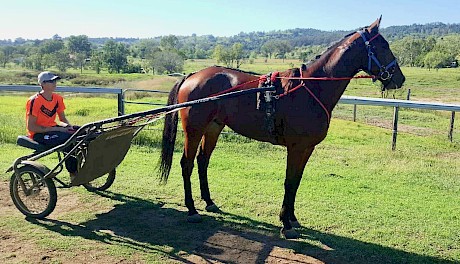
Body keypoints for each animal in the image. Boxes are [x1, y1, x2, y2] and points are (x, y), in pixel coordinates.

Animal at [158, 17, 406, 238]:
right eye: (382, 46)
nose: (399, 78)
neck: (311, 88)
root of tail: (192, 76)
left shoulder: (307, 149)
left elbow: (296, 182)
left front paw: (292, 218)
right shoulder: (296, 147)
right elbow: (289, 181)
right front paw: (286, 224)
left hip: (213, 128)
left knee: (203, 161)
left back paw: (209, 201)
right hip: (194, 130)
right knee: (187, 164)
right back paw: (191, 209)